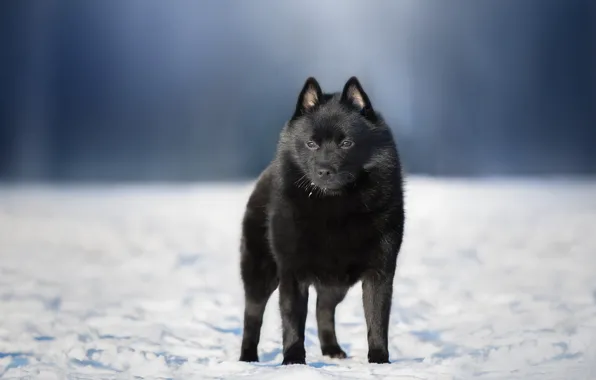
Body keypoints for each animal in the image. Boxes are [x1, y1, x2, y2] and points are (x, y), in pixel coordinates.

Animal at [237, 75, 406, 364]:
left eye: (346, 143)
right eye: (311, 144)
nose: (324, 170)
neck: (335, 209)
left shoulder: (380, 272)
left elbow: (377, 320)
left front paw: (379, 361)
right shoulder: (292, 273)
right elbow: (292, 321)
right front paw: (293, 361)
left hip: (336, 284)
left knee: (323, 309)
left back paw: (332, 350)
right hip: (260, 273)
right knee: (252, 316)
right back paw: (247, 358)